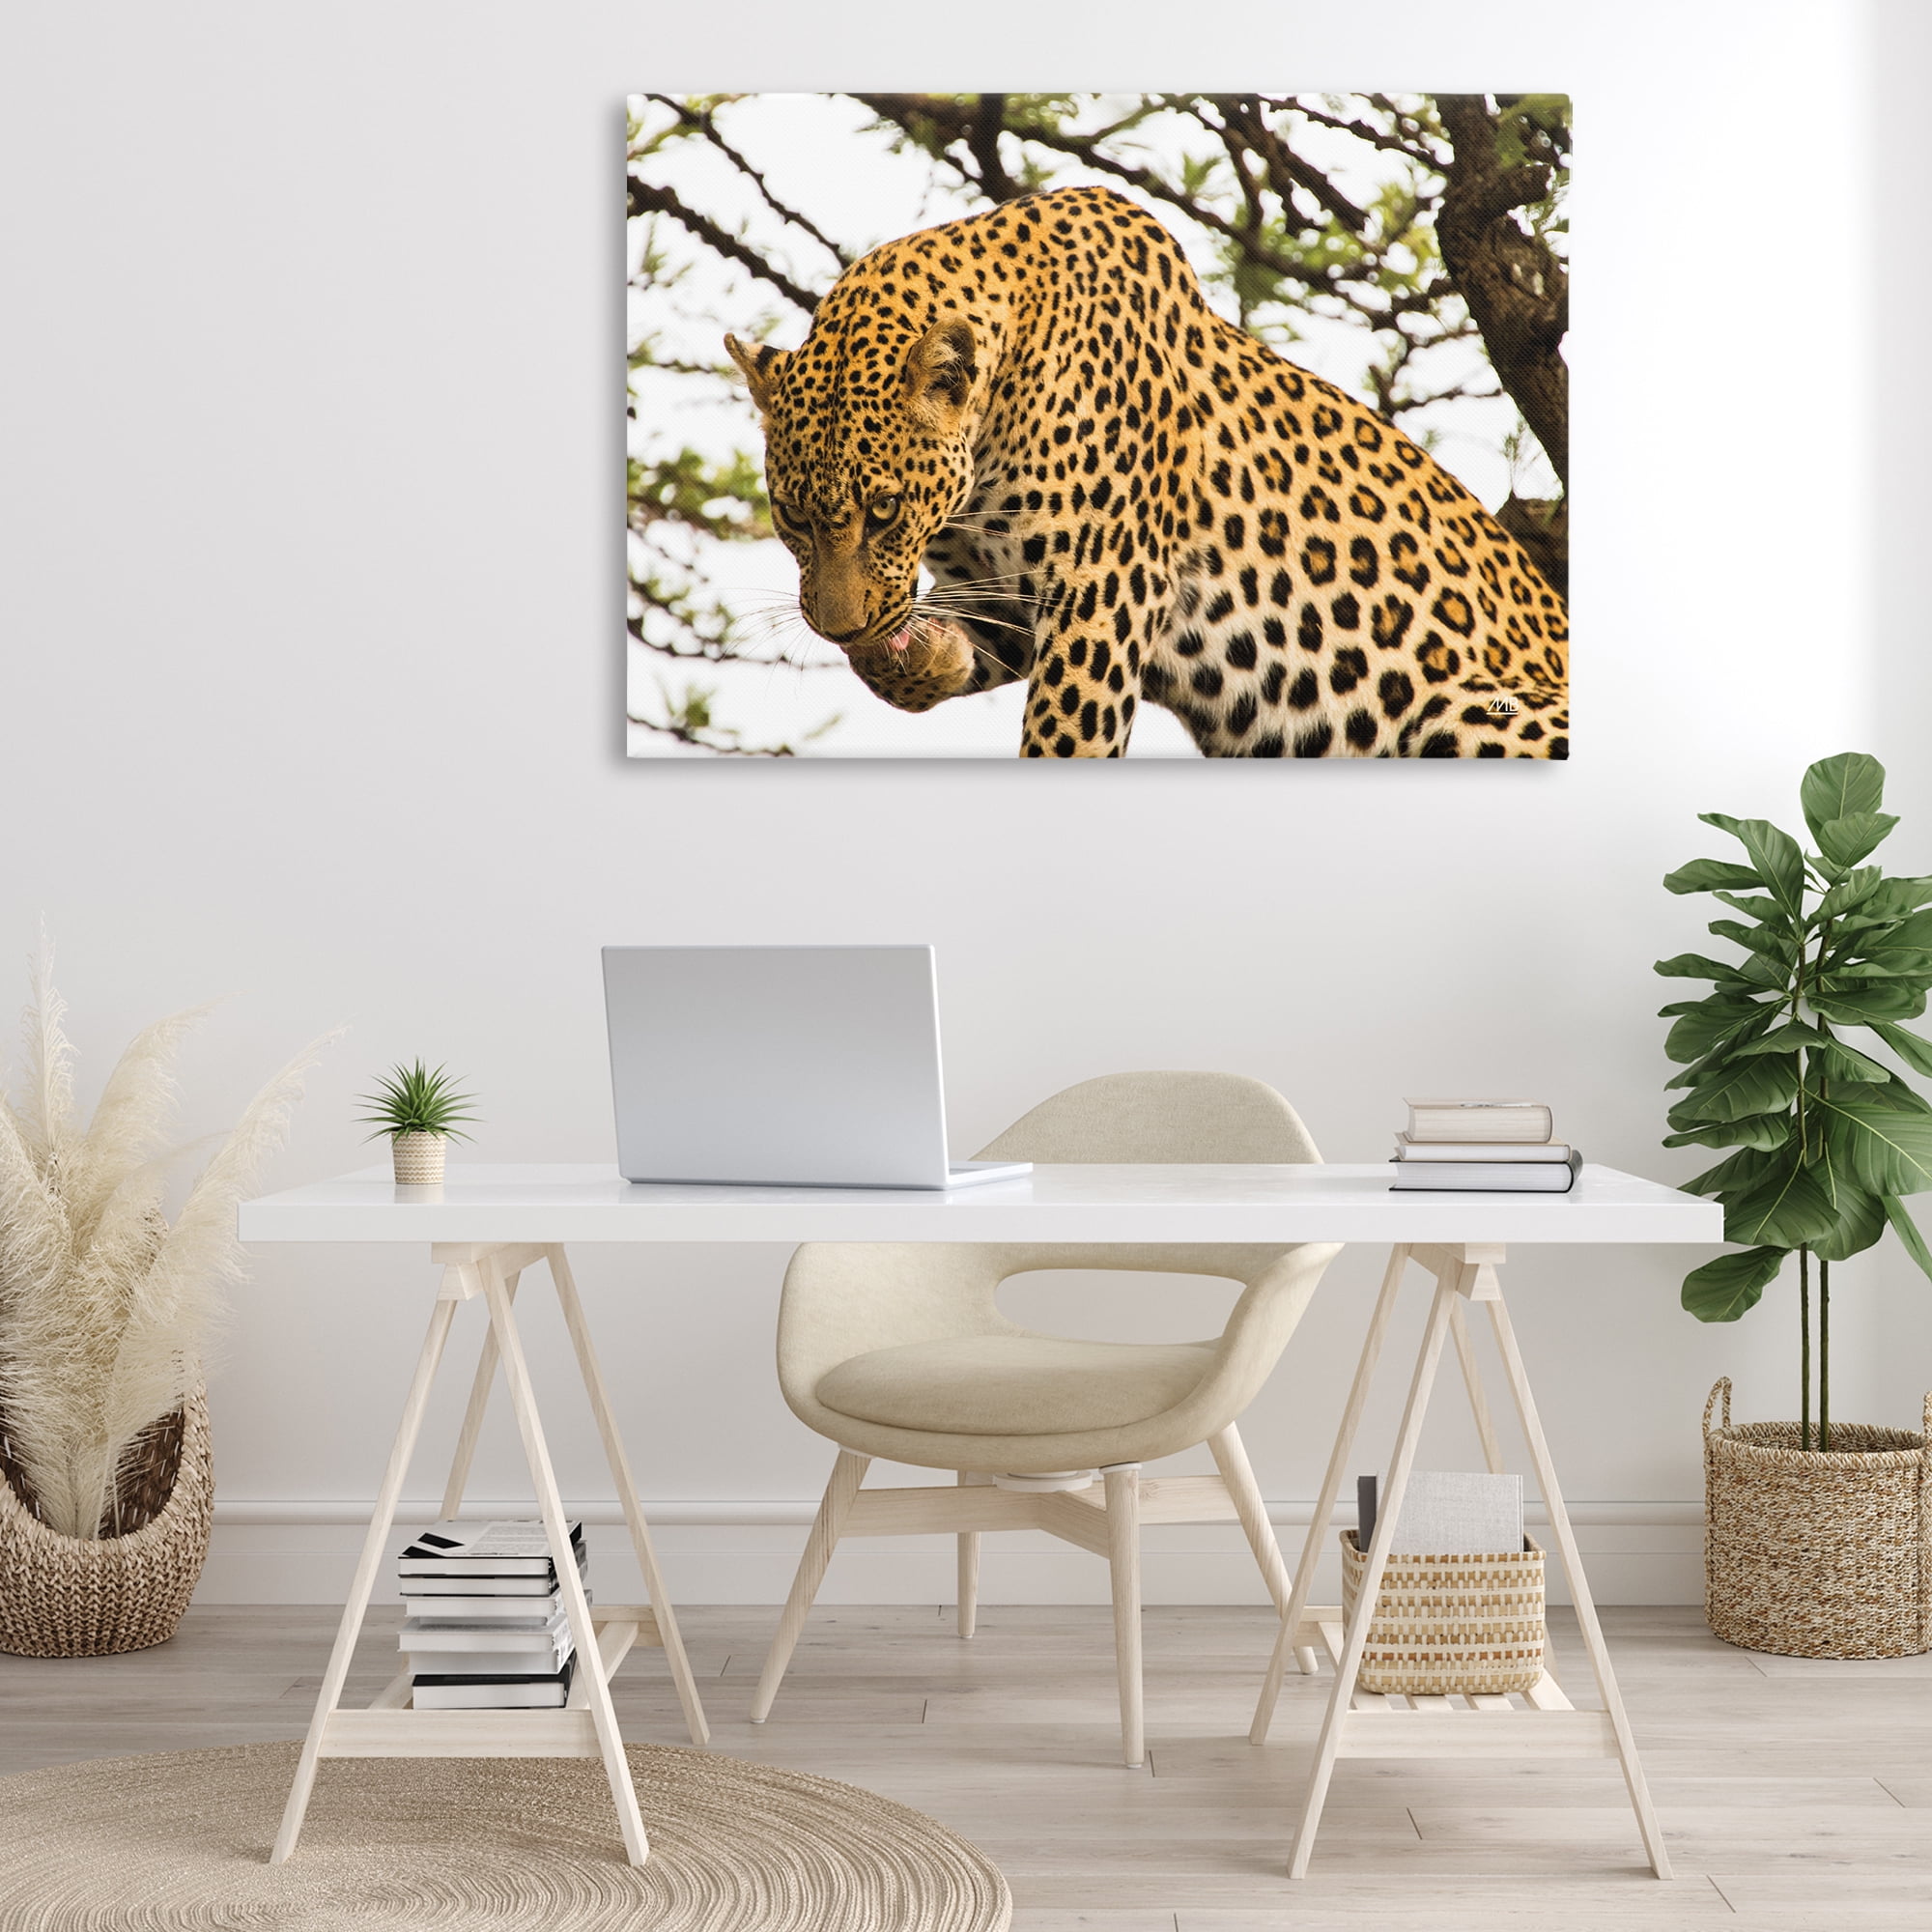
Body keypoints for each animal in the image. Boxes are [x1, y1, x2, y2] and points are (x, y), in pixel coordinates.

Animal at [725, 184, 1567, 758]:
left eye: (886, 511)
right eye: (792, 516)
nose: (840, 627)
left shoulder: (1103, 590)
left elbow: (1066, 739)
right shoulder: (1007, 593)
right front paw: (924, 655)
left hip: (1477, 710)